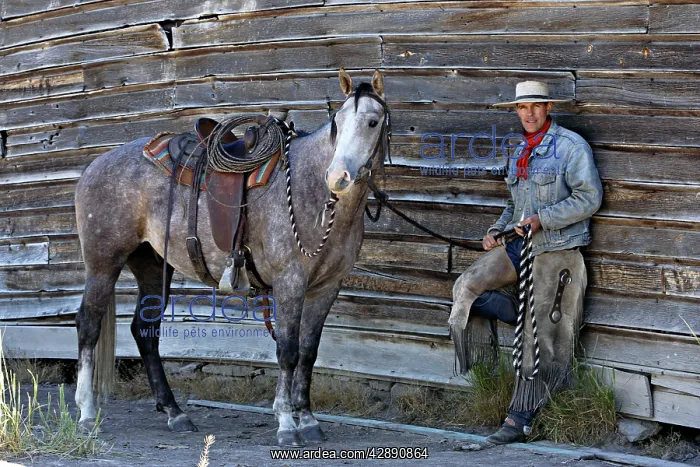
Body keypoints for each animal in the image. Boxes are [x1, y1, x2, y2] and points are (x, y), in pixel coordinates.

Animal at [73, 69, 390, 446]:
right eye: (337, 122)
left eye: (372, 122)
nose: (337, 176)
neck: (311, 191)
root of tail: (93, 166)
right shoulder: (290, 282)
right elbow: (288, 351)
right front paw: (287, 423)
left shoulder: (327, 287)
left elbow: (309, 352)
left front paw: (309, 420)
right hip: (103, 263)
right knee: (88, 325)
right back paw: (87, 411)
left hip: (151, 265)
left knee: (145, 331)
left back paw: (175, 413)